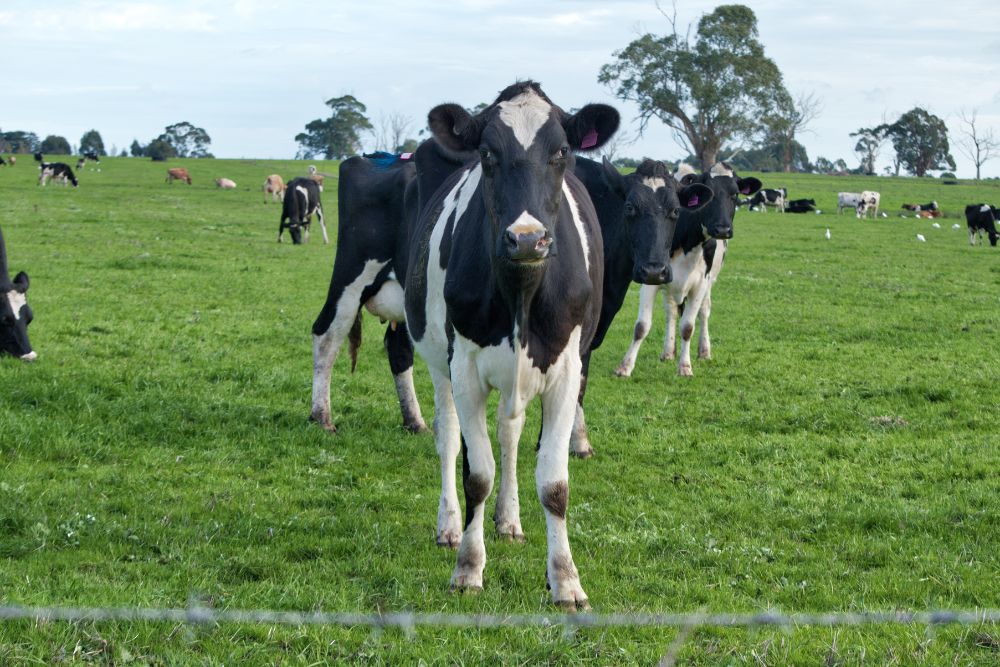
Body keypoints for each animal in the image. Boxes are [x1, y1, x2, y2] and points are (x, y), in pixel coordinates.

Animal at [404, 81, 619, 610]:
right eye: (487, 154)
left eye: (562, 153)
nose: (526, 239)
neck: (521, 292)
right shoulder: (464, 369)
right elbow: (476, 473)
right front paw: (468, 567)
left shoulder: (569, 372)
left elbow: (554, 483)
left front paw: (565, 580)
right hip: (439, 364)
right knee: (447, 437)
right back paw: (450, 526)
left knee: (510, 435)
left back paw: (510, 519)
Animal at [615, 162, 762, 378]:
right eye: (711, 194)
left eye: (735, 194)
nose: (723, 230)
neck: (687, 240)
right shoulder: (651, 277)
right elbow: (642, 326)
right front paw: (625, 367)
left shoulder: (700, 284)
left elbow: (688, 327)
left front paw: (685, 366)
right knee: (671, 311)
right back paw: (668, 351)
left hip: (709, 283)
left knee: (704, 311)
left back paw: (704, 350)